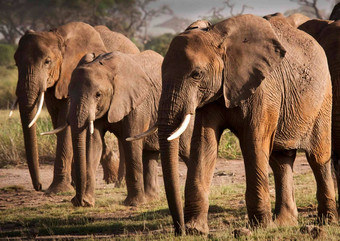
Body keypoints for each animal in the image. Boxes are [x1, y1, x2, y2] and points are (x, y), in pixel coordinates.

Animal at [13, 21, 139, 193]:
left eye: (47, 62)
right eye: (16, 63)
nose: (39, 187)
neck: (58, 36)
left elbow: (65, 125)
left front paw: (58, 190)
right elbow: (58, 123)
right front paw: (72, 185)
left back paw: (118, 183)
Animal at [68, 50, 194, 207]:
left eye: (98, 95)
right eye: (68, 94)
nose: (76, 201)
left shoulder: (138, 104)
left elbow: (131, 143)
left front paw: (134, 204)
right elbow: (94, 144)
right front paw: (86, 203)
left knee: (186, 149)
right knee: (150, 154)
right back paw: (150, 198)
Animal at [135, 14, 338, 234]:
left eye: (196, 74)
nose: (179, 229)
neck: (218, 39)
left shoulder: (263, 90)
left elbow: (253, 144)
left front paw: (260, 226)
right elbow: (204, 145)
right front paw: (196, 229)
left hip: (323, 98)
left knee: (317, 157)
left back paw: (327, 221)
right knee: (281, 160)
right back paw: (284, 223)